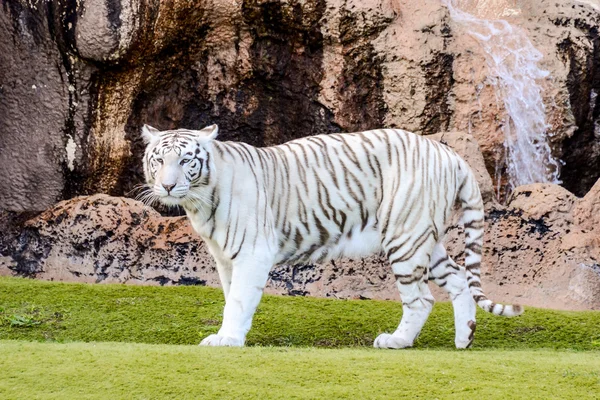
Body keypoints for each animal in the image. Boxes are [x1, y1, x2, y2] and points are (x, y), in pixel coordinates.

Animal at [141, 123, 520, 348]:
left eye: (186, 160)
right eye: (158, 160)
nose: (168, 186)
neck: (200, 200)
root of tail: (451, 154)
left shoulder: (252, 253)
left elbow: (237, 300)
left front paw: (227, 340)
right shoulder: (224, 258)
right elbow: (230, 296)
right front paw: (228, 335)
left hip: (405, 237)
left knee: (422, 299)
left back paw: (396, 341)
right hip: (422, 236)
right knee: (458, 279)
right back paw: (464, 338)